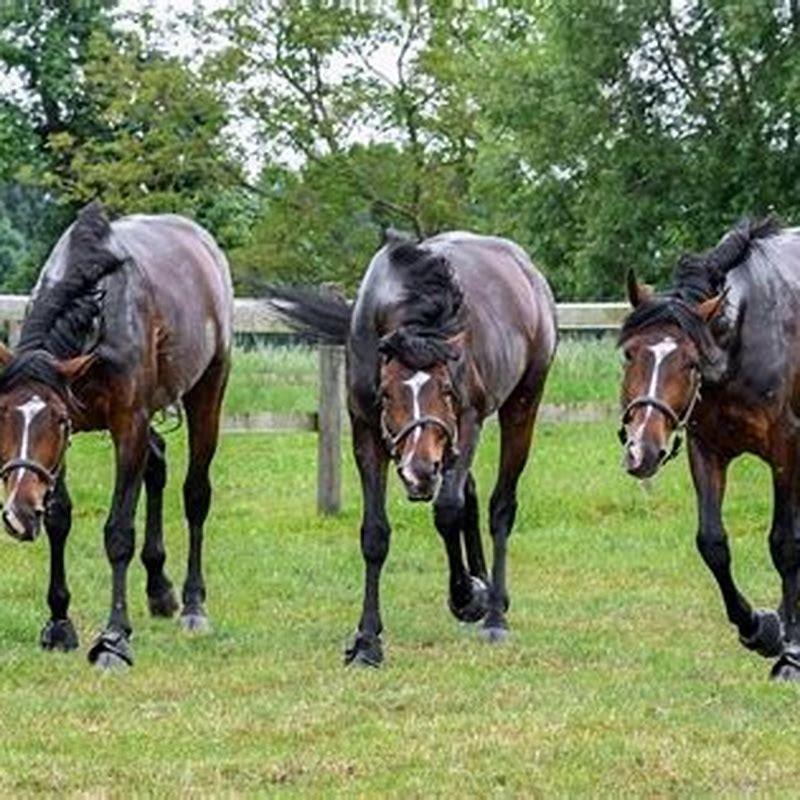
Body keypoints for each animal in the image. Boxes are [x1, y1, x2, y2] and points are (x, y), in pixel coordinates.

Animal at [0, 202, 233, 668]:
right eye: (2, 414)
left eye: (55, 419)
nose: (17, 513)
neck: (97, 311)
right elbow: (59, 519)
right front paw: (59, 623)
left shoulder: (128, 424)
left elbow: (118, 532)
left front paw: (113, 638)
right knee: (157, 465)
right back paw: (159, 588)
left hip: (207, 393)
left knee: (195, 494)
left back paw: (193, 605)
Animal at [268, 233, 556, 668]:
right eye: (388, 393)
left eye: (448, 390)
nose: (419, 471)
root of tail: (528, 271)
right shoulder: (368, 431)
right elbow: (375, 534)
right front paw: (367, 641)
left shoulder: (466, 423)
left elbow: (448, 511)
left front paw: (466, 598)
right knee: (470, 494)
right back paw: (488, 588)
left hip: (521, 405)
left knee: (500, 506)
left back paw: (493, 613)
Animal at [616, 217, 800, 680]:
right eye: (629, 354)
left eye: (690, 363)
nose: (642, 449)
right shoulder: (707, 450)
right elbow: (712, 543)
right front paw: (759, 629)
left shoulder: (787, 450)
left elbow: (786, 545)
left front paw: (790, 653)